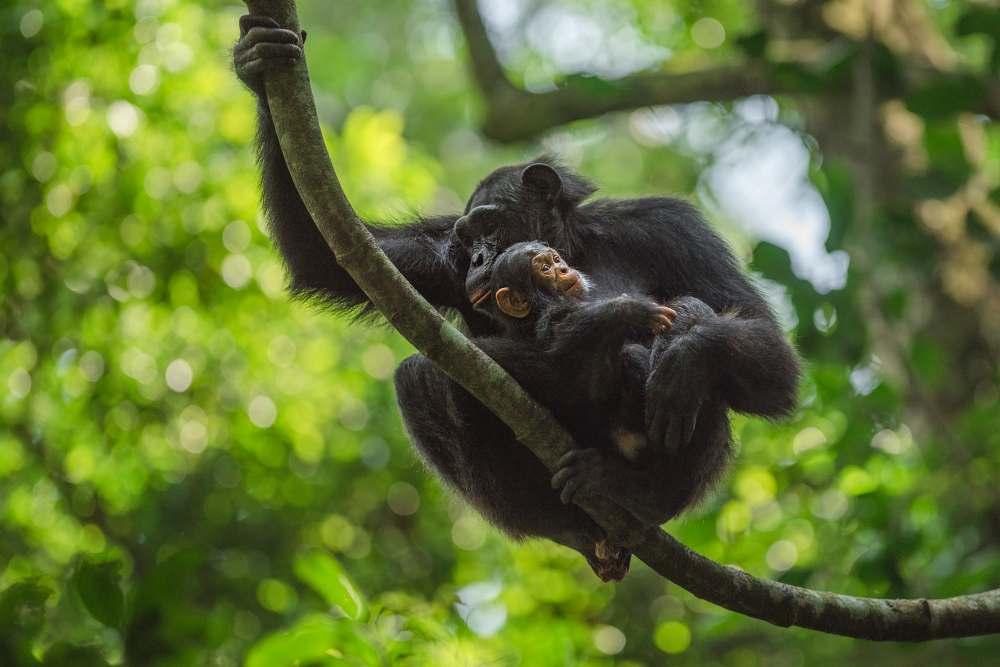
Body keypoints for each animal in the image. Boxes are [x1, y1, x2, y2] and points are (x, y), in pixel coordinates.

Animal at [232, 17, 796, 576]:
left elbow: (763, 344)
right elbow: (326, 252)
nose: (480, 257)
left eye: (491, 225)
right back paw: (573, 526)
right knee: (423, 377)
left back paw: (643, 490)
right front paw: (260, 60)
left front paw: (681, 356)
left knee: (703, 344)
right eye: (468, 238)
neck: (575, 244)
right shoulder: (441, 255)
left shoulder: (671, 227)